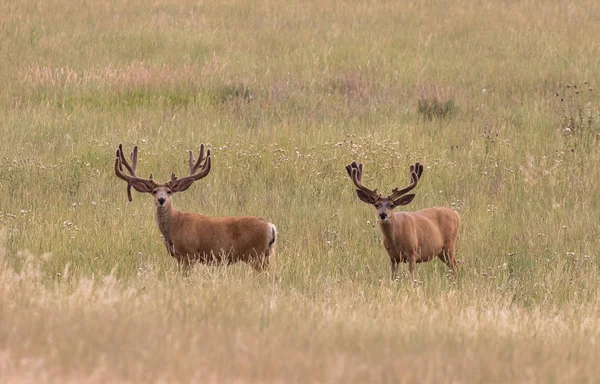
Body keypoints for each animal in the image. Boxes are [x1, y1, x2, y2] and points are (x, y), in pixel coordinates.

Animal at [115, 143, 276, 270]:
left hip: (256, 254)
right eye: (154, 191)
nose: (161, 199)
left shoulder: (189, 254)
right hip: (265, 254)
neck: (174, 226)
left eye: (169, 191)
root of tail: (270, 226)